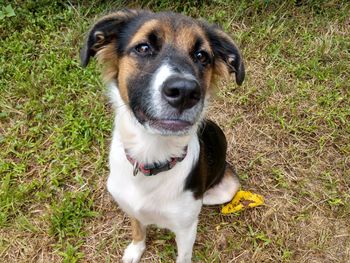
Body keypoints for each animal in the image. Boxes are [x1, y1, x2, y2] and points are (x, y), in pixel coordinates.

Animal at [80, 9, 245, 262]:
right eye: (143, 47)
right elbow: (138, 228)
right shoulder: (130, 207)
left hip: (227, 188)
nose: (185, 92)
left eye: (202, 56)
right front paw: (135, 250)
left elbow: (183, 255)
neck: (152, 154)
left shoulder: (186, 229)